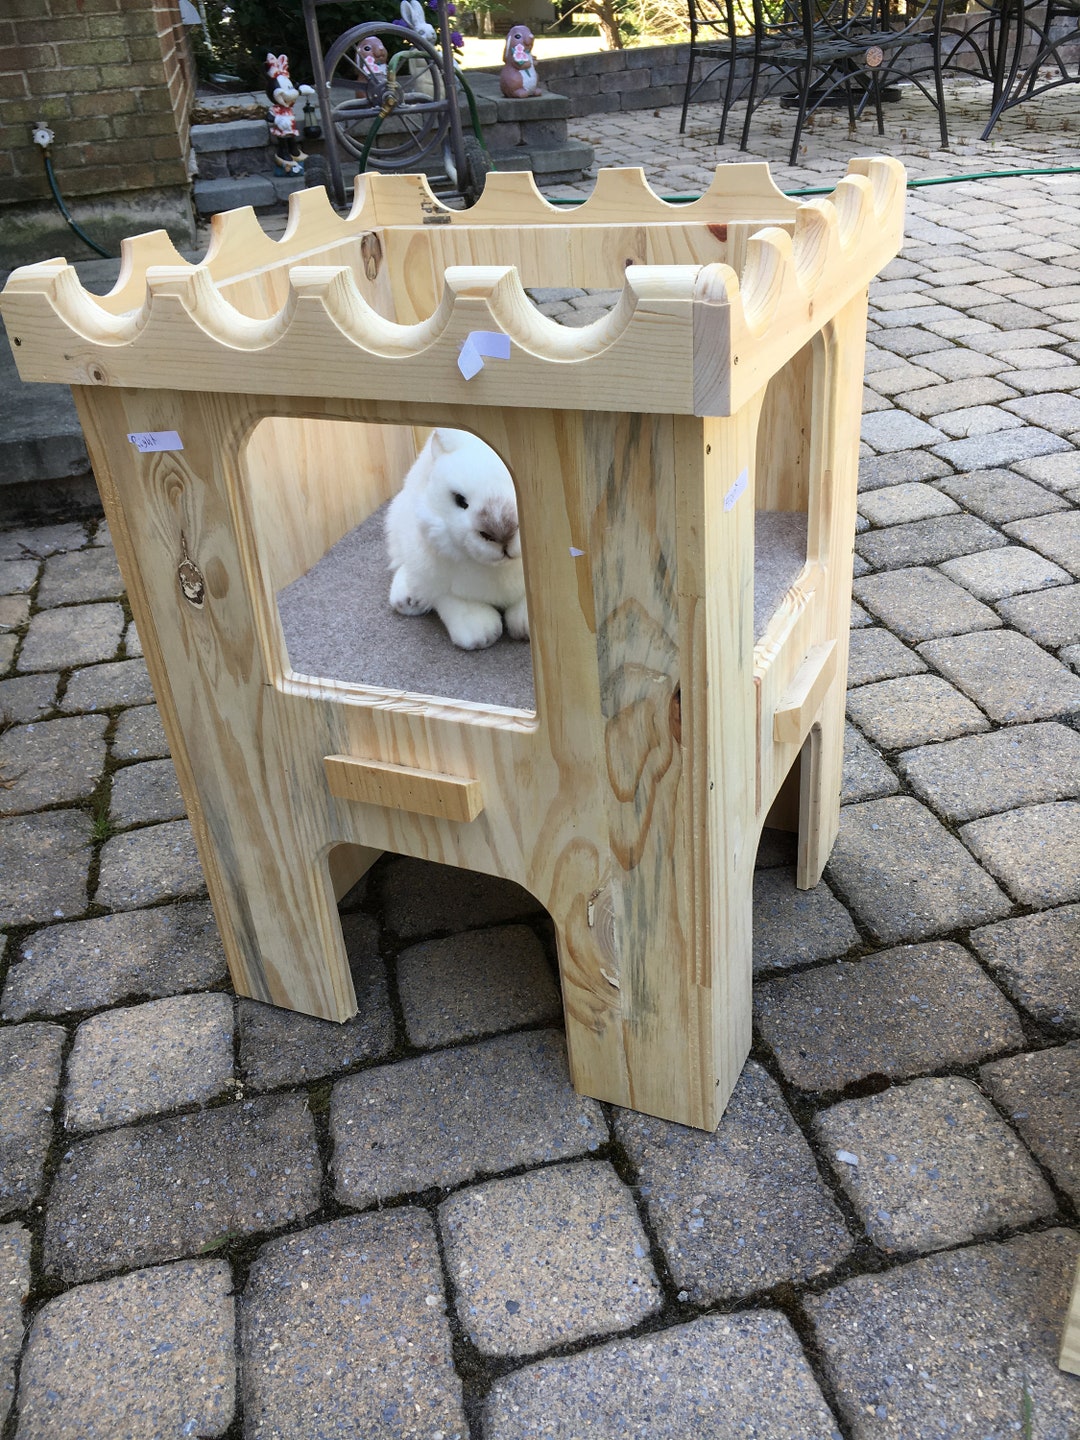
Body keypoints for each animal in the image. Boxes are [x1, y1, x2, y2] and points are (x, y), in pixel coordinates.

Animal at [385, 428, 529, 651]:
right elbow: (453, 601)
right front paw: (481, 634)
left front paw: (524, 626)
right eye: (460, 500)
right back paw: (407, 599)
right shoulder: (437, 579)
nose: (500, 534)